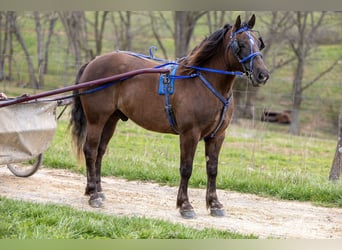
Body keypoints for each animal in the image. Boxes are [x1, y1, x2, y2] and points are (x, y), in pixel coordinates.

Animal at [69, 14, 268, 219]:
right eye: (240, 44)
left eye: (258, 43)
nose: (263, 75)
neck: (201, 81)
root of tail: (93, 62)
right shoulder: (190, 133)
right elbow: (186, 169)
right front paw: (185, 205)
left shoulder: (217, 135)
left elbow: (212, 169)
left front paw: (214, 204)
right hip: (96, 119)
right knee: (90, 150)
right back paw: (93, 194)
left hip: (111, 119)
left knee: (100, 151)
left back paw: (97, 190)